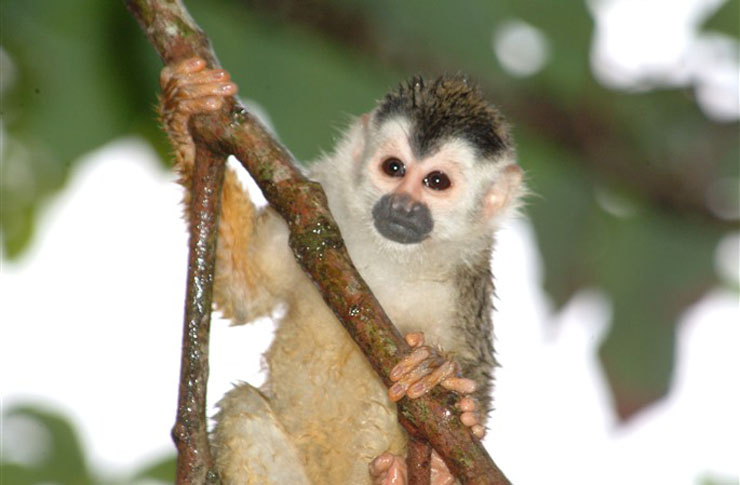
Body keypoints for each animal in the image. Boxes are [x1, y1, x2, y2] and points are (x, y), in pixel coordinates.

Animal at [159, 57, 523, 485]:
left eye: (436, 181)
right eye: (394, 168)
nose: (402, 206)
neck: (389, 257)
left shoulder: (465, 285)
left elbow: (471, 364)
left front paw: (449, 395)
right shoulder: (313, 204)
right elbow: (247, 287)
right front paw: (187, 108)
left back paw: (406, 472)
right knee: (243, 408)